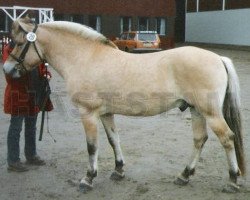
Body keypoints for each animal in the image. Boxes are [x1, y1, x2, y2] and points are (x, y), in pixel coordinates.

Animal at [3, 17, 246, 192]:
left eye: (19, 43)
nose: (7, 69)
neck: (86, 57)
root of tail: (218, 58)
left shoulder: (88, 113)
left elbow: (92, 146)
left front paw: (88, 179)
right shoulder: (105, 113)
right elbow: (113, 140)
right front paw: (118, 170)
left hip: (210, 112)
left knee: (227, 138)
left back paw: (232, 181)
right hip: (196, 110)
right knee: (199, 140)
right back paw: (184, 176)